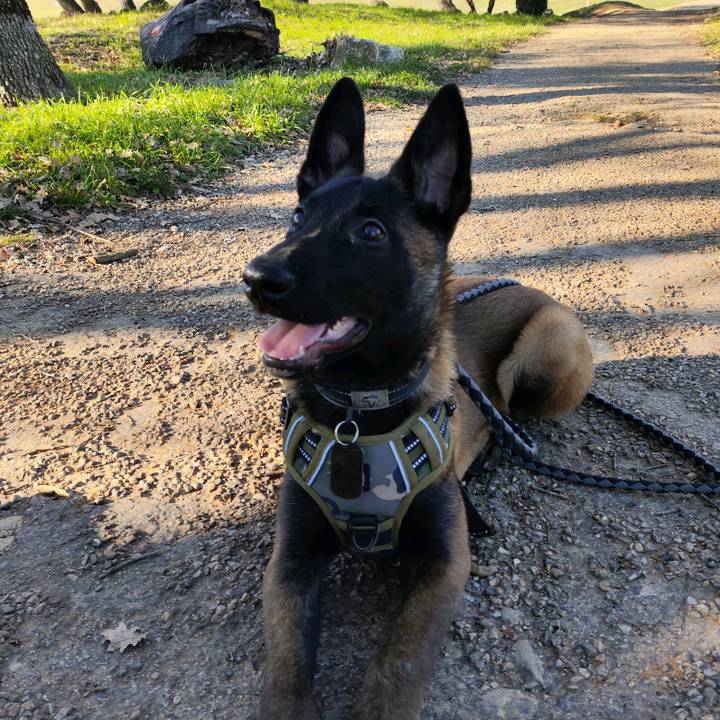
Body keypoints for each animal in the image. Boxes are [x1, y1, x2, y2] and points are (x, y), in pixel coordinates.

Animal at [243, 77, 594, 720]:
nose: (256, 278)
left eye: (371, 232)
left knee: (516, 409)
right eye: (298, 216)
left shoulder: (444, 565)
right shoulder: (290, 563)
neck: (359, 416)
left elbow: (396, 668)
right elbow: (285, 669)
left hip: (546, 356)